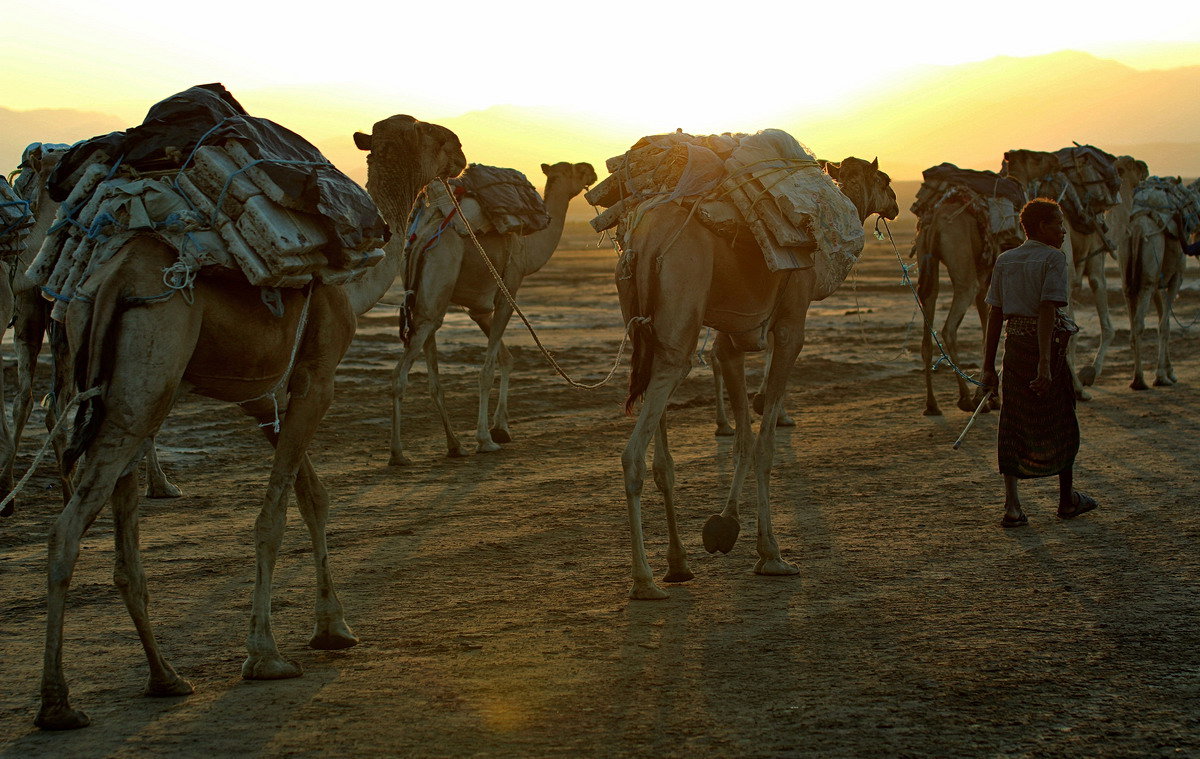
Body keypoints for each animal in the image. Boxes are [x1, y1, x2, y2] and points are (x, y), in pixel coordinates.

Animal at [32, 114, 463, 730]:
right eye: (430, 135)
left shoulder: (261, 397)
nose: (460, 150)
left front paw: (334, 627)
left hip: (115, 383)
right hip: (146, 378)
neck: (352, 287)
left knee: (122, 546)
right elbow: (274, 516)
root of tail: (112, 278)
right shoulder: (316, 379)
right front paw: (265, 655)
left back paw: (165, 677)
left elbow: (313, 497)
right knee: (65, 530)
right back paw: (58, 703)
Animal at [391, 159, 597, 463]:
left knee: (433, 377)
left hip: (425, 297)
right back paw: (398, 454)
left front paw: (501, 428)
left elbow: (506, 358)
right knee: (400, 374)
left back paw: (454, 445)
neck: (529, 249)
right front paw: (486, 438)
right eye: (574, 170)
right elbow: (487, 369)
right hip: (439, 279)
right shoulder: (508, 289)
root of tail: (421, 240)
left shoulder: (477, 309)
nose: (591, 169)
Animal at [619, 157, 892, 602]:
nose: (899, 203)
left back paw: (677, 565)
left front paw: (724, 525)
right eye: (884, 180)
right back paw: (644, 580)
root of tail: (646, 241)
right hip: (682, 300)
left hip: (642, 321)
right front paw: (772, 554)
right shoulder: (791, 326)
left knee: (660, 451)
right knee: (636, 448)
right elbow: (764, 445)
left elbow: (743, 440)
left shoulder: (730, 341)